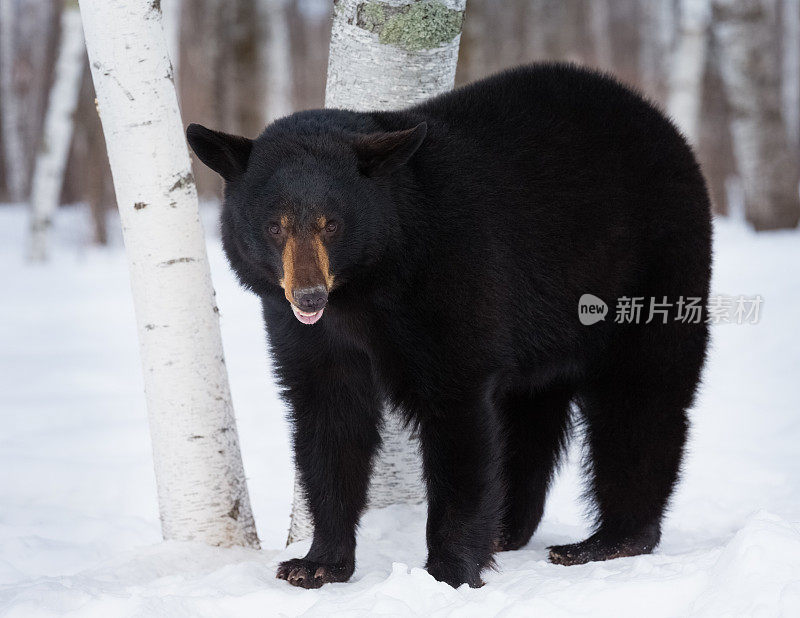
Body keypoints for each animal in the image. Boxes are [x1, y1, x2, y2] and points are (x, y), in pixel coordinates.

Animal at [188, 62, 712, 588]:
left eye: (330, 224)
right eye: (274, 226)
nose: (309, 295)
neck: (367, 289)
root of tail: (663, 125)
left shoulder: (454, 277)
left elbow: (459, 415)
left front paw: (449, 570)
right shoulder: (308, 332)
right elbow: (329, 416)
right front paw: (317, 562)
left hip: (649, 269)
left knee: (641, 397)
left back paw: (605, 541)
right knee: (528, 415)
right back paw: (509, 529)